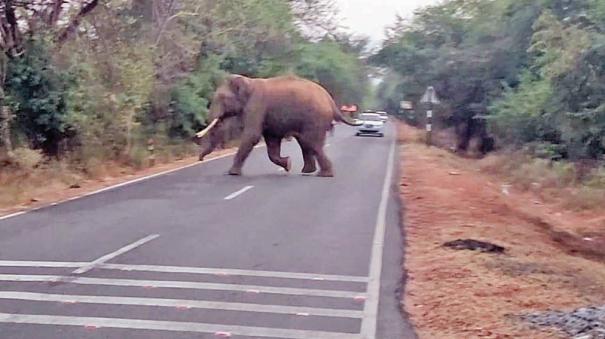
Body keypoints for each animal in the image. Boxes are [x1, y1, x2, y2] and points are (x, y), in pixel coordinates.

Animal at [196, 74, 360, 178]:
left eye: (221, 98)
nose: (200, 159)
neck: (248, 81)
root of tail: (330, 101)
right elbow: (271, 141)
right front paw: (288, 164)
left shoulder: (257, 105)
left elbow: (252, 136)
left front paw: (231, 174)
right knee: (306, 142)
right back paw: (308, 171)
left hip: (315, 119)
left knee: (312, 142)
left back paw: (323, 175)